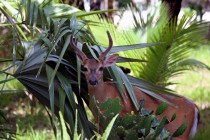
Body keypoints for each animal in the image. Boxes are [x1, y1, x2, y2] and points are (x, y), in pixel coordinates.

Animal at [69, 31, 199, 140]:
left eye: (101, 68)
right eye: (85, 68)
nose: (93, 81)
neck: (103, 97)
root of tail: (195, 108)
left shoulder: (119, 119)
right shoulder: (100, 122)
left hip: (178, 132)